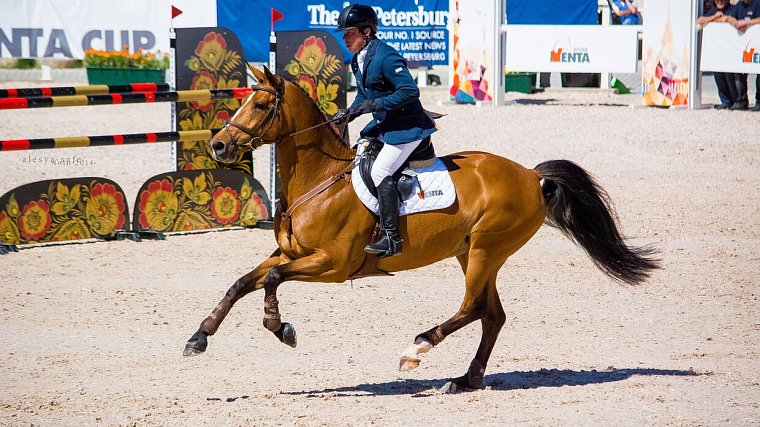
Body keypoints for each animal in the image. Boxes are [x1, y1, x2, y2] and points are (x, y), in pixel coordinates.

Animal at [184, 67, 660, 394]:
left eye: (261, 106)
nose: (219, 145)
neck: (318, 180)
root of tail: (529, 174)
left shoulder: (332, 266)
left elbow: (271, 280)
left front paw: (281, 328)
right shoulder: (291, 254)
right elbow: (243, 282)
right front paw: (198, 338)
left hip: (485, 250)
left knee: (472, 307)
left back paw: (417, 349)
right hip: (473, 253)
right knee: (492, 315)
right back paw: (466, 379)